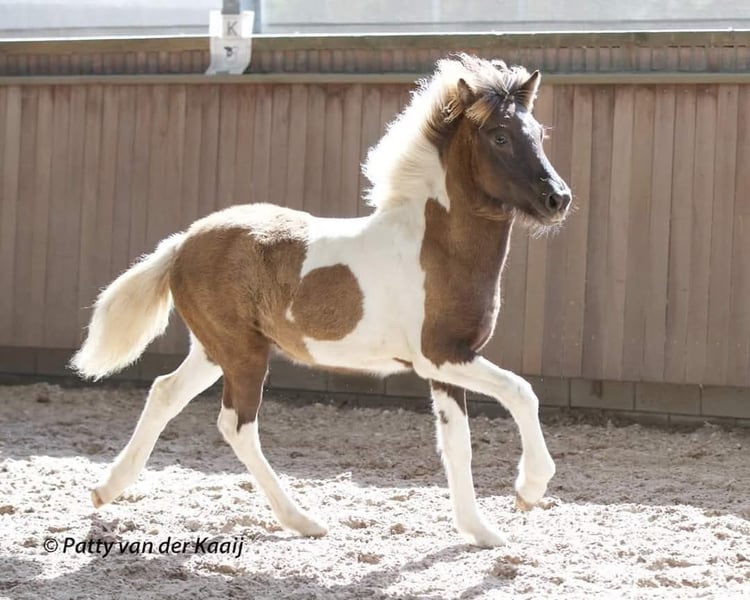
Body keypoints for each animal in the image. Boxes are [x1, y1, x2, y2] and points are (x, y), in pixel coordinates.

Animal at [71, 53, 572, 548]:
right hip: (243, 353)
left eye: (538, 133)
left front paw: (481, 531)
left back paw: (104, 490)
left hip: (217, 350)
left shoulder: (447, 365)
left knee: (165, 392)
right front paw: (529, 489)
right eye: (500, 135)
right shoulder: (440, 355)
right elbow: (522, 392)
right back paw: (303, 521)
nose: (557, 199)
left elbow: (457, 444)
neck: (438, 248)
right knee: (236, 425)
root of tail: (182, 243)